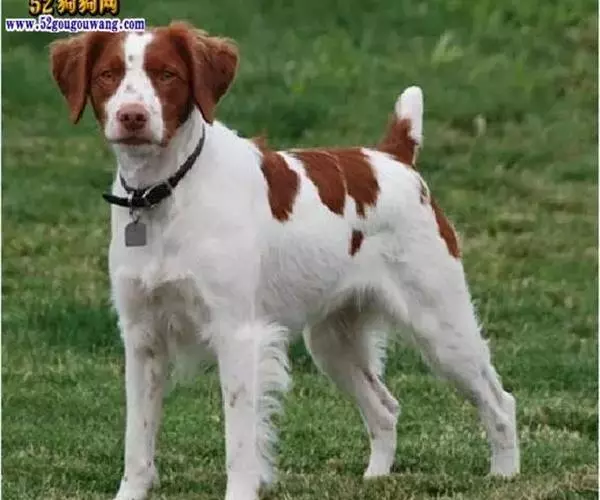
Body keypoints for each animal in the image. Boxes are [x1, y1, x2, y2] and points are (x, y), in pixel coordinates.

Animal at [50, 21, 519, 500]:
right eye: (107, 75)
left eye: (167, 75)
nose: (132, 117)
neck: (166, 193)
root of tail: (393, 157)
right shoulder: (142, 337)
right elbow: (137, 442)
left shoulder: (238, 334)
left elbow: (240, 442)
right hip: (333, 341)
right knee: (386, 407)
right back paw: (376, 476)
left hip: (442, 327)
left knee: (500, 401)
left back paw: (504, 475)